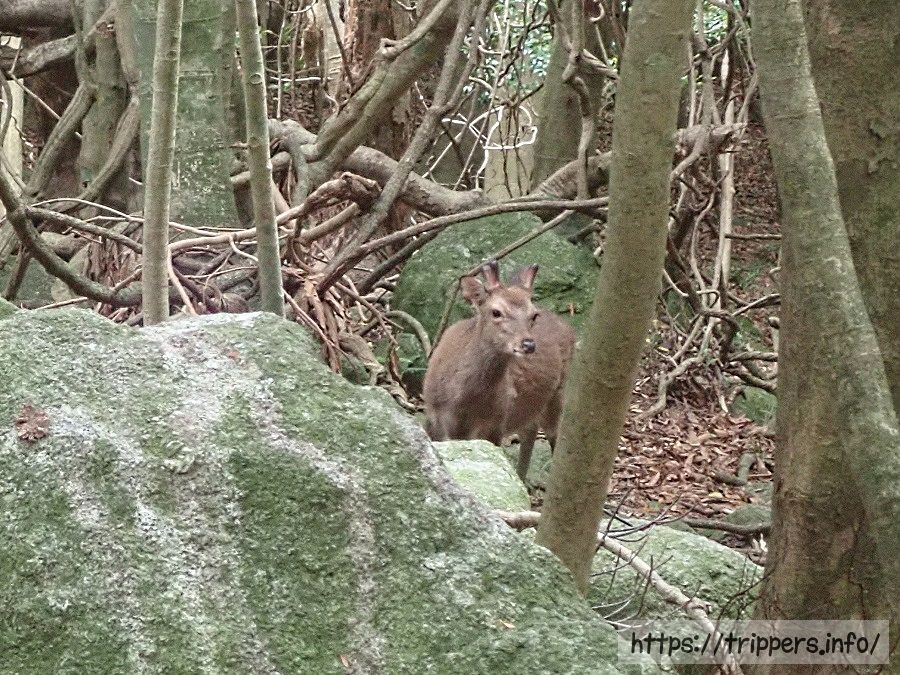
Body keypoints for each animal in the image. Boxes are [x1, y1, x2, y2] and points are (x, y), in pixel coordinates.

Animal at [422, 260, 576, 482]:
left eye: (533, 315)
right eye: (496, 312)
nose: (528, 344)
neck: (463, 403)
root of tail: (569, 328)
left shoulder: (496, 424)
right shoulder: (433, 417)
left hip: (558, 390)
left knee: (553, 433)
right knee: (530, 429)